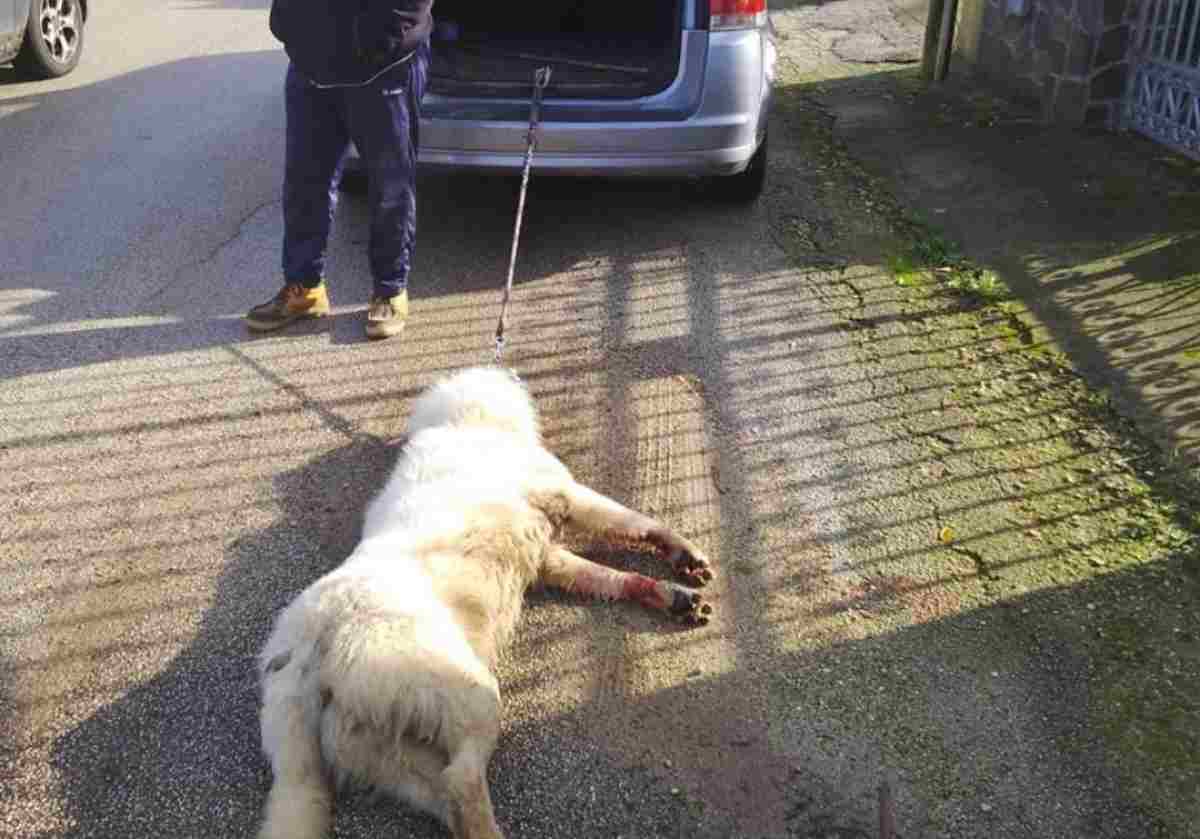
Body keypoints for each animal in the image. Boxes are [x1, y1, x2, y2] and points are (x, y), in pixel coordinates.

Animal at [254, 367, 710, 839]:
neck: (466, 422)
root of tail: (308, 643)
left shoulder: (548, 557)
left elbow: (612, 577)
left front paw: (671, 594)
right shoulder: (569, 495)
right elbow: (638, 521)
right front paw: (684, 554)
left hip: (377, 748)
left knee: (448, 796)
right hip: (470, 694)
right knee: (461, 780)